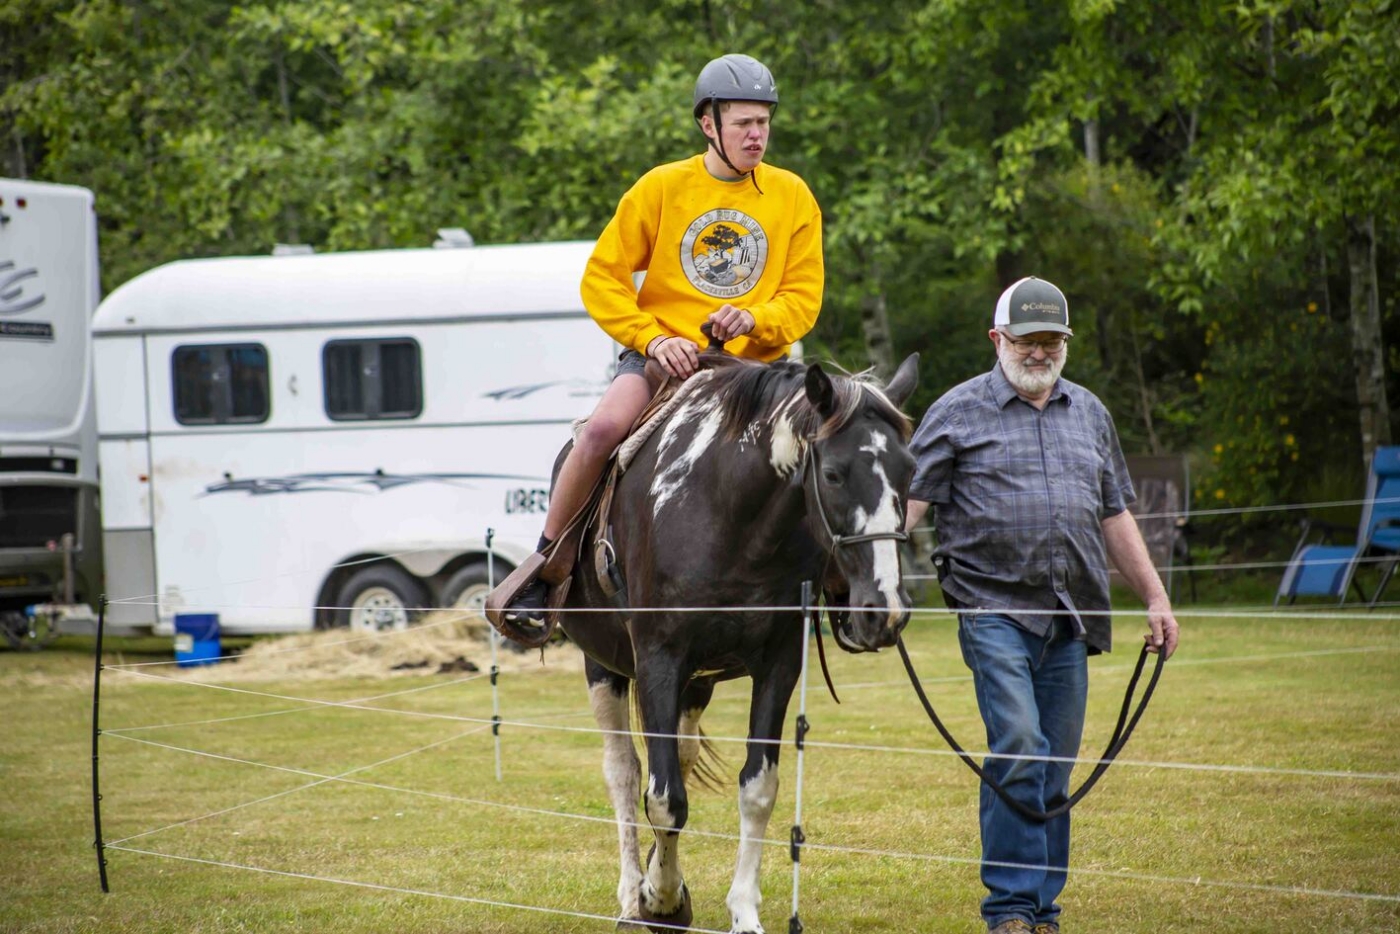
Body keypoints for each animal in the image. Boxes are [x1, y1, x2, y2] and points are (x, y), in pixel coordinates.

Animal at [556, 352, 920, 933]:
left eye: (909, 473)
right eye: (834, 474)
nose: (882, 610)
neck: (724, 512)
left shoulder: (777, 667)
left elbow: (756, 789)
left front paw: (740, 909)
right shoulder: (658, 662)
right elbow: (664, 799)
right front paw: (660, 901)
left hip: (696, 684)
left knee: (676, 758)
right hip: (605, 667)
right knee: (624, 772)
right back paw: (632, 898)